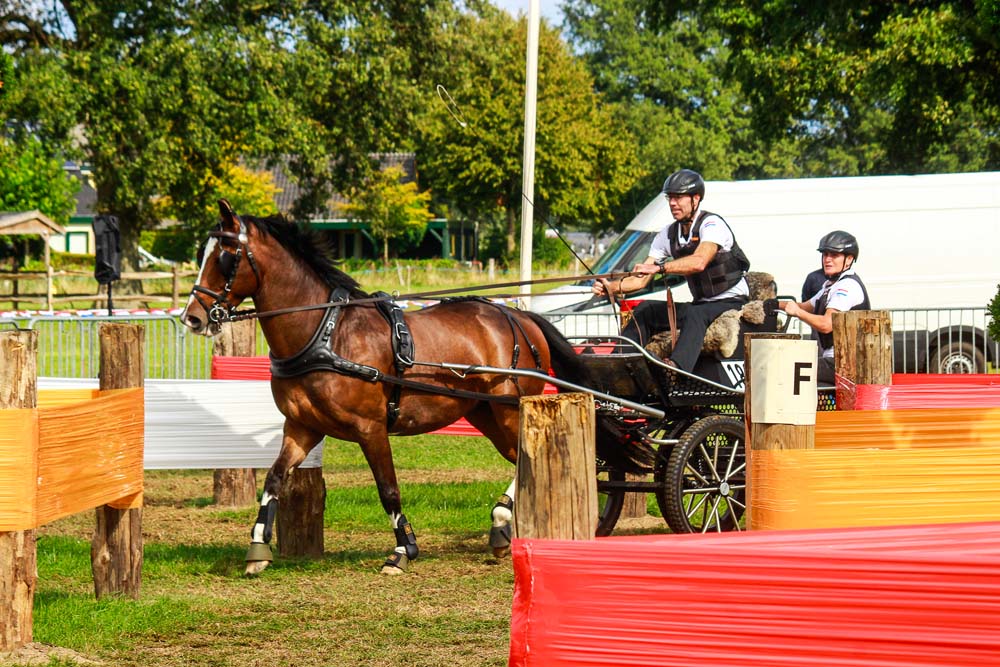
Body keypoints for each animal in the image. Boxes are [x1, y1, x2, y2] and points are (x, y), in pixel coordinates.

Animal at [181, 200, 589, 575]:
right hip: (484, 412)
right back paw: (503, 529)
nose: (192, 318)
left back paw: (505, 520)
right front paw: (257, 549)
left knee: (524, 459)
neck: (326, 333)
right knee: (517, 457)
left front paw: (403, 550)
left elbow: (388, 488)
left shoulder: (371, 428)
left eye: (226, 257)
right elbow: (274, 479)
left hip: (508, 408)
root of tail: (521, 316)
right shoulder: (302, 427)